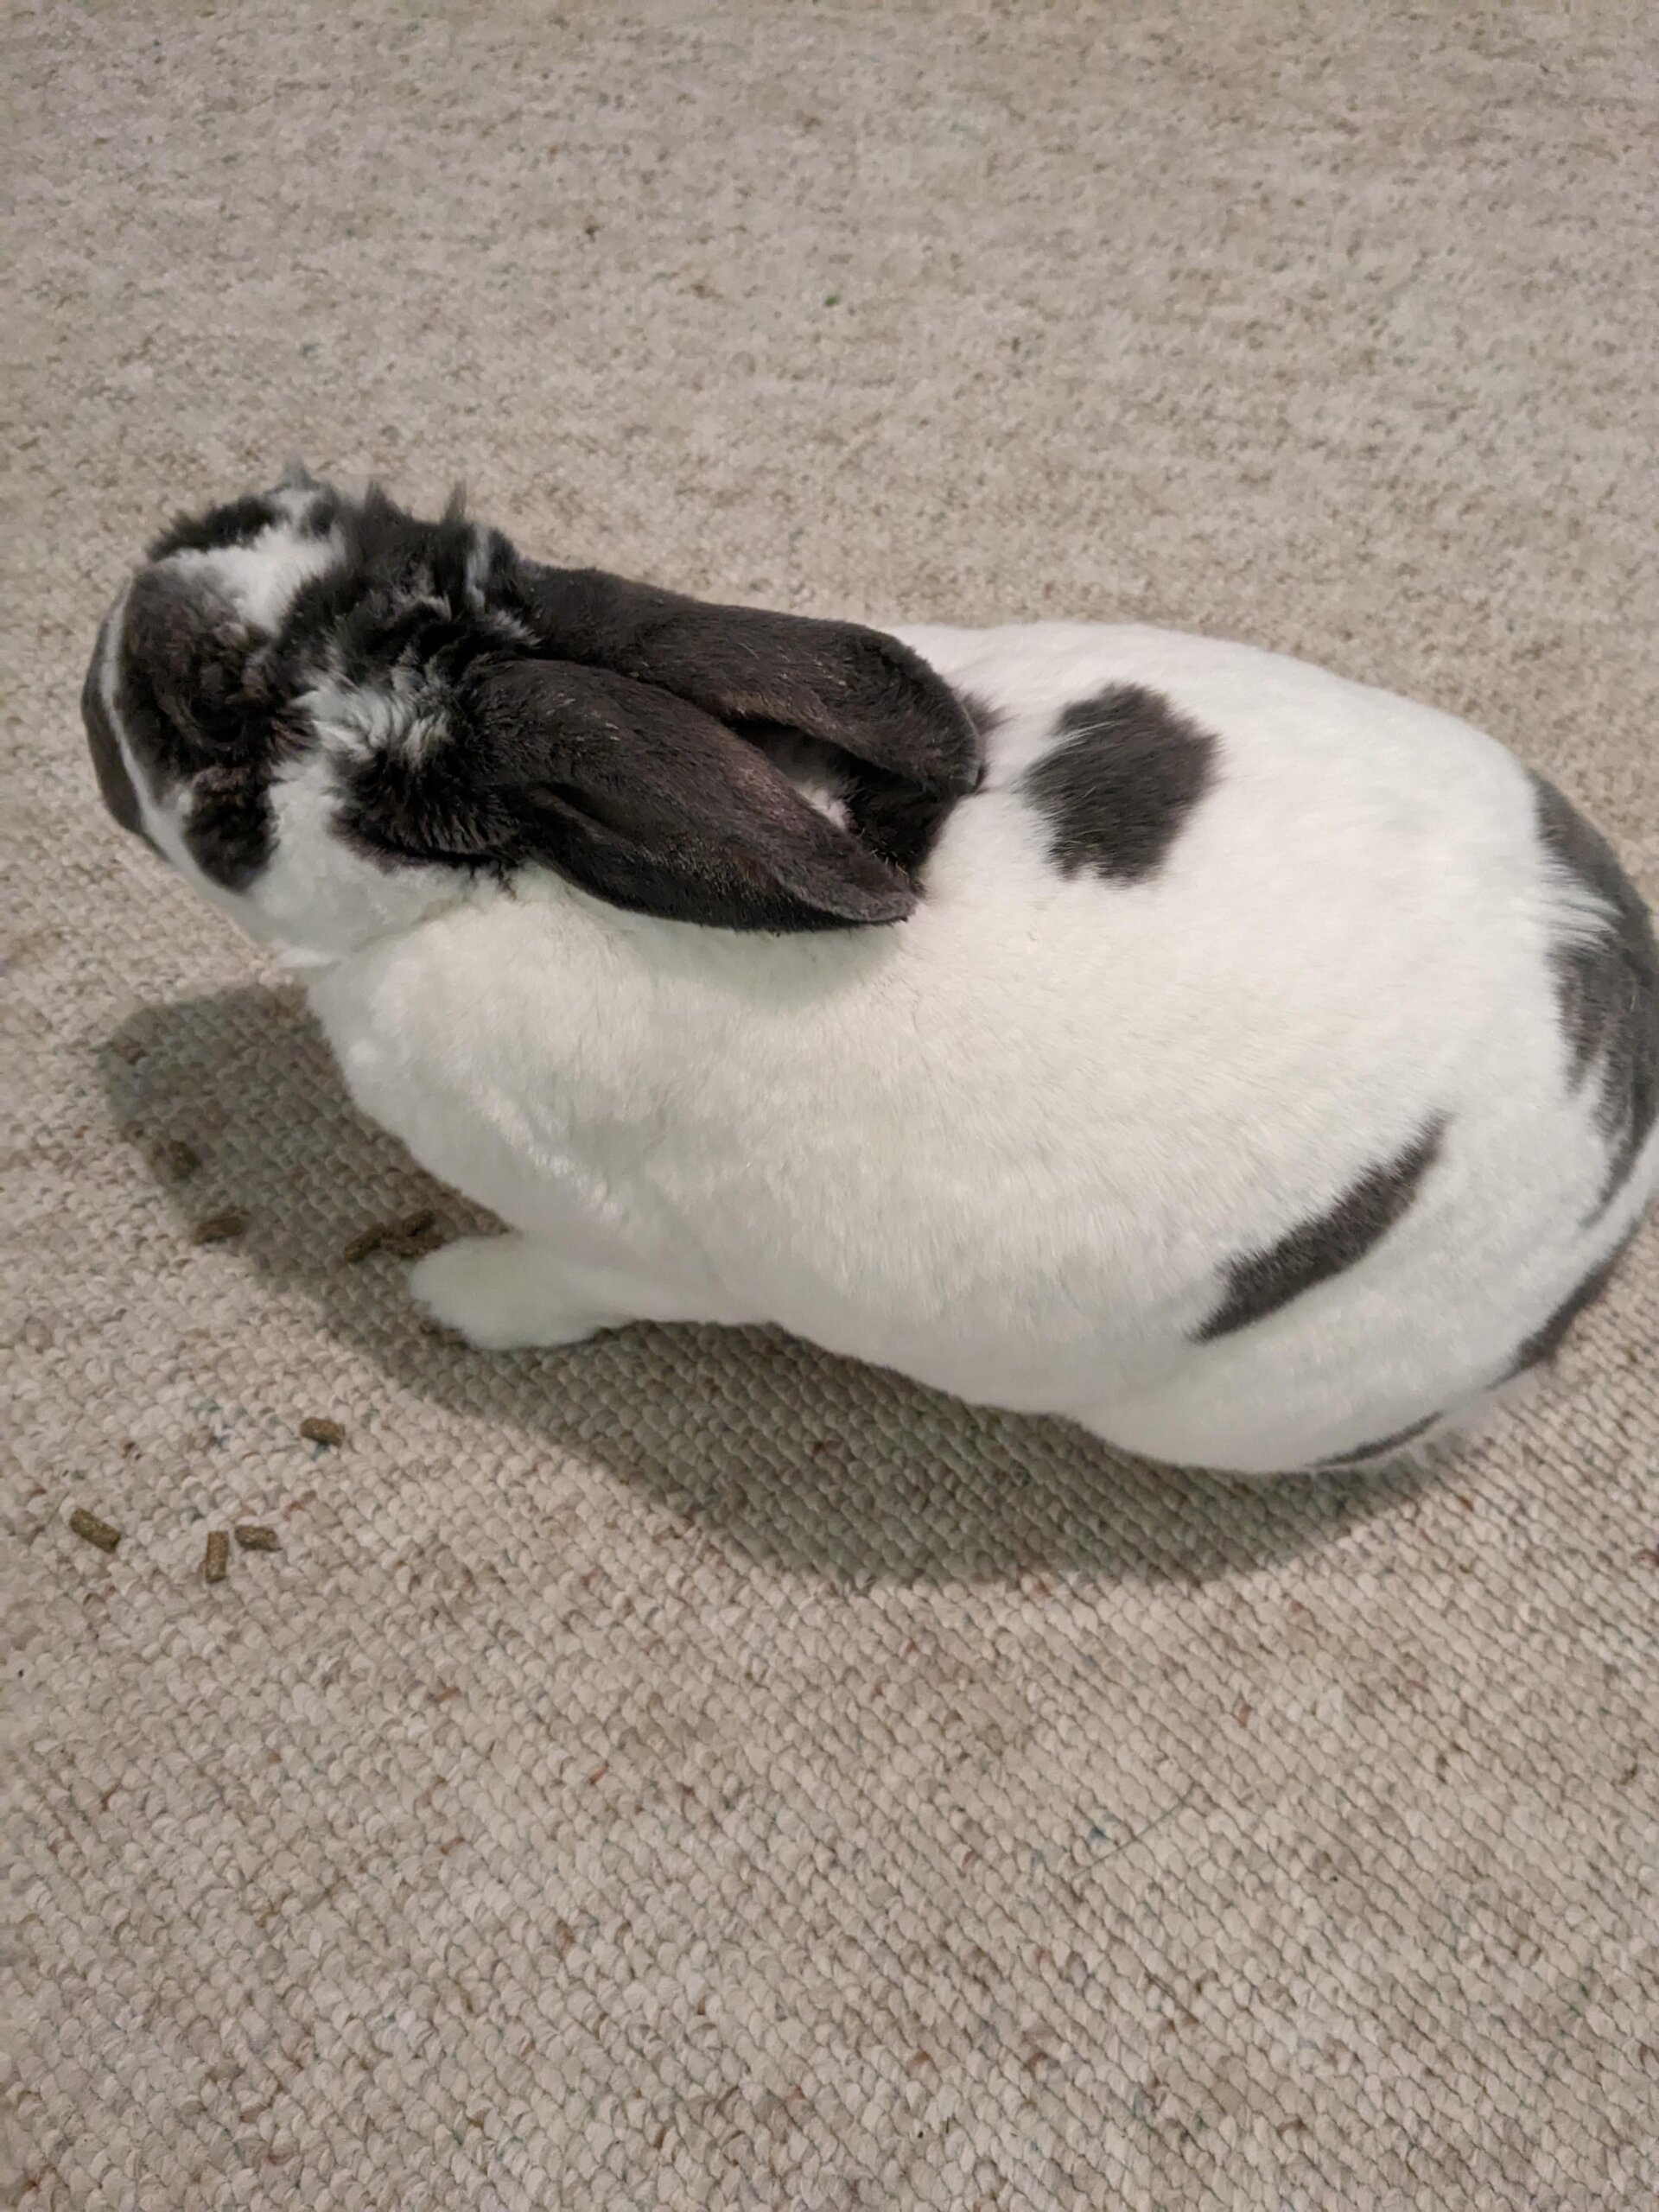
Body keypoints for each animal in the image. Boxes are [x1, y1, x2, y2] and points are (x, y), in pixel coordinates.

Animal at [81, 471, 1659, 1475]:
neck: (509, 878)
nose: (127, 615)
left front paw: (451, 1297)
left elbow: (554, 1282)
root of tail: (1615, 1181)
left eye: (219, 730)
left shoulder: (623, 1250)